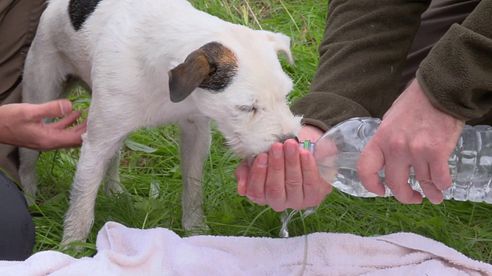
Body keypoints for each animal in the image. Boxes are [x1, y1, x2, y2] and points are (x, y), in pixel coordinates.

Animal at [20, 0, 300, 244]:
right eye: (246, 107)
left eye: (285, 96)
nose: (290, 141)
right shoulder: (97, 143)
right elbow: (82, 204)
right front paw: (73, 247)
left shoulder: (196, 132)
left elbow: (193, 187)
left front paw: (196, 230)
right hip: (41, 95)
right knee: (27, 162)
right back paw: (30, 200)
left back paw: (114, 192)